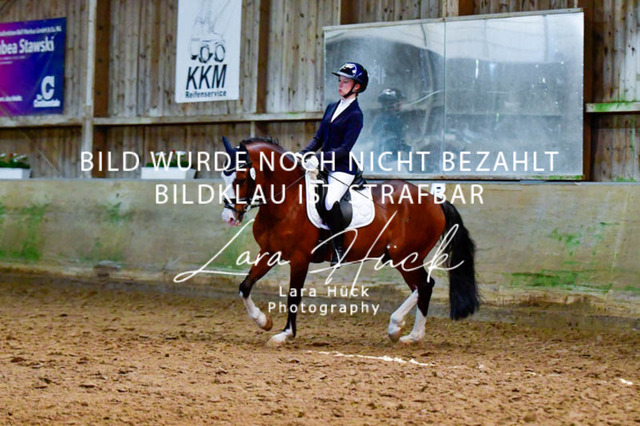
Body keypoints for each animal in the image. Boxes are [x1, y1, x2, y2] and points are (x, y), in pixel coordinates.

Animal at [219, 136, 479, 346]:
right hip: (402, 258)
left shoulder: (300, 258)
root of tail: (435, 200)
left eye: (240, 178)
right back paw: (407, 334)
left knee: (425, 285)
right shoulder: (269, 252)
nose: (229, 217)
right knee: (422, 287)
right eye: (224, 176)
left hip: (406, 257)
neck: (287, 200)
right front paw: (264, 321)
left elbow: (294, 296)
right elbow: (245, 286)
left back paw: (400, 329)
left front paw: (285, 334)